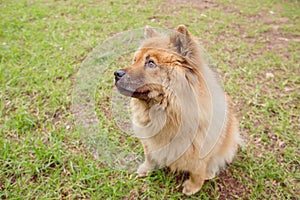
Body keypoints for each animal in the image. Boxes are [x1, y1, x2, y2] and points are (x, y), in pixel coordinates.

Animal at [113, 24, 243, 195]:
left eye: (151, 63)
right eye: (135, 60)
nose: (116, 74)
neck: (166, 112)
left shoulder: (201, 149)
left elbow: (198, 170)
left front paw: (192, 187)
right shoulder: (148, 140)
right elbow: (149, 156)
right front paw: (146, 169)